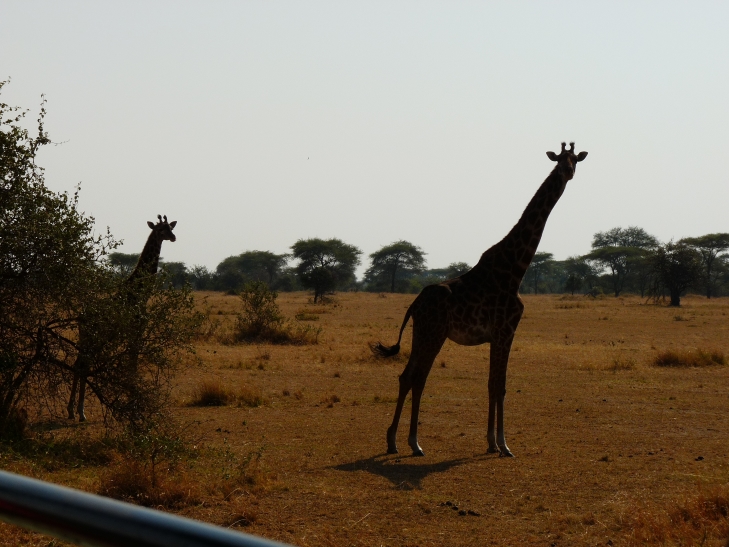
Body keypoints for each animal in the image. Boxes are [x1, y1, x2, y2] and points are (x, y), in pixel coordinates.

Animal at [67, 215, 177, 422]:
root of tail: (81, 316)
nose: (173, 237)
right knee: (82, 365)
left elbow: (131, 364)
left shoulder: (136, 332)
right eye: (160, 229)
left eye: (170, 227)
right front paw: (133, 404)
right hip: (92, 337)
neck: (141, 294)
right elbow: (132, 365)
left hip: (88, 338)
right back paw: (80, 412)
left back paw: (73, 411)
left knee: (79, 364)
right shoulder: (136, 330)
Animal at [371, 143, 587, 457]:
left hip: (421, 333)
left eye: (575, 160)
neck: (516, 268)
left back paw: (393, 441)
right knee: (419, 377)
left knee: (406, 376)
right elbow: (498, 385)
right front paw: (503, 444)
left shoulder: (500, 334)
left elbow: (495, 384)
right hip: (433, 333)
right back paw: (414, 442)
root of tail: (414, 304)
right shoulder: (504, 331)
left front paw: (492, 442)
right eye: (559, 161)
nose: (568, 172)